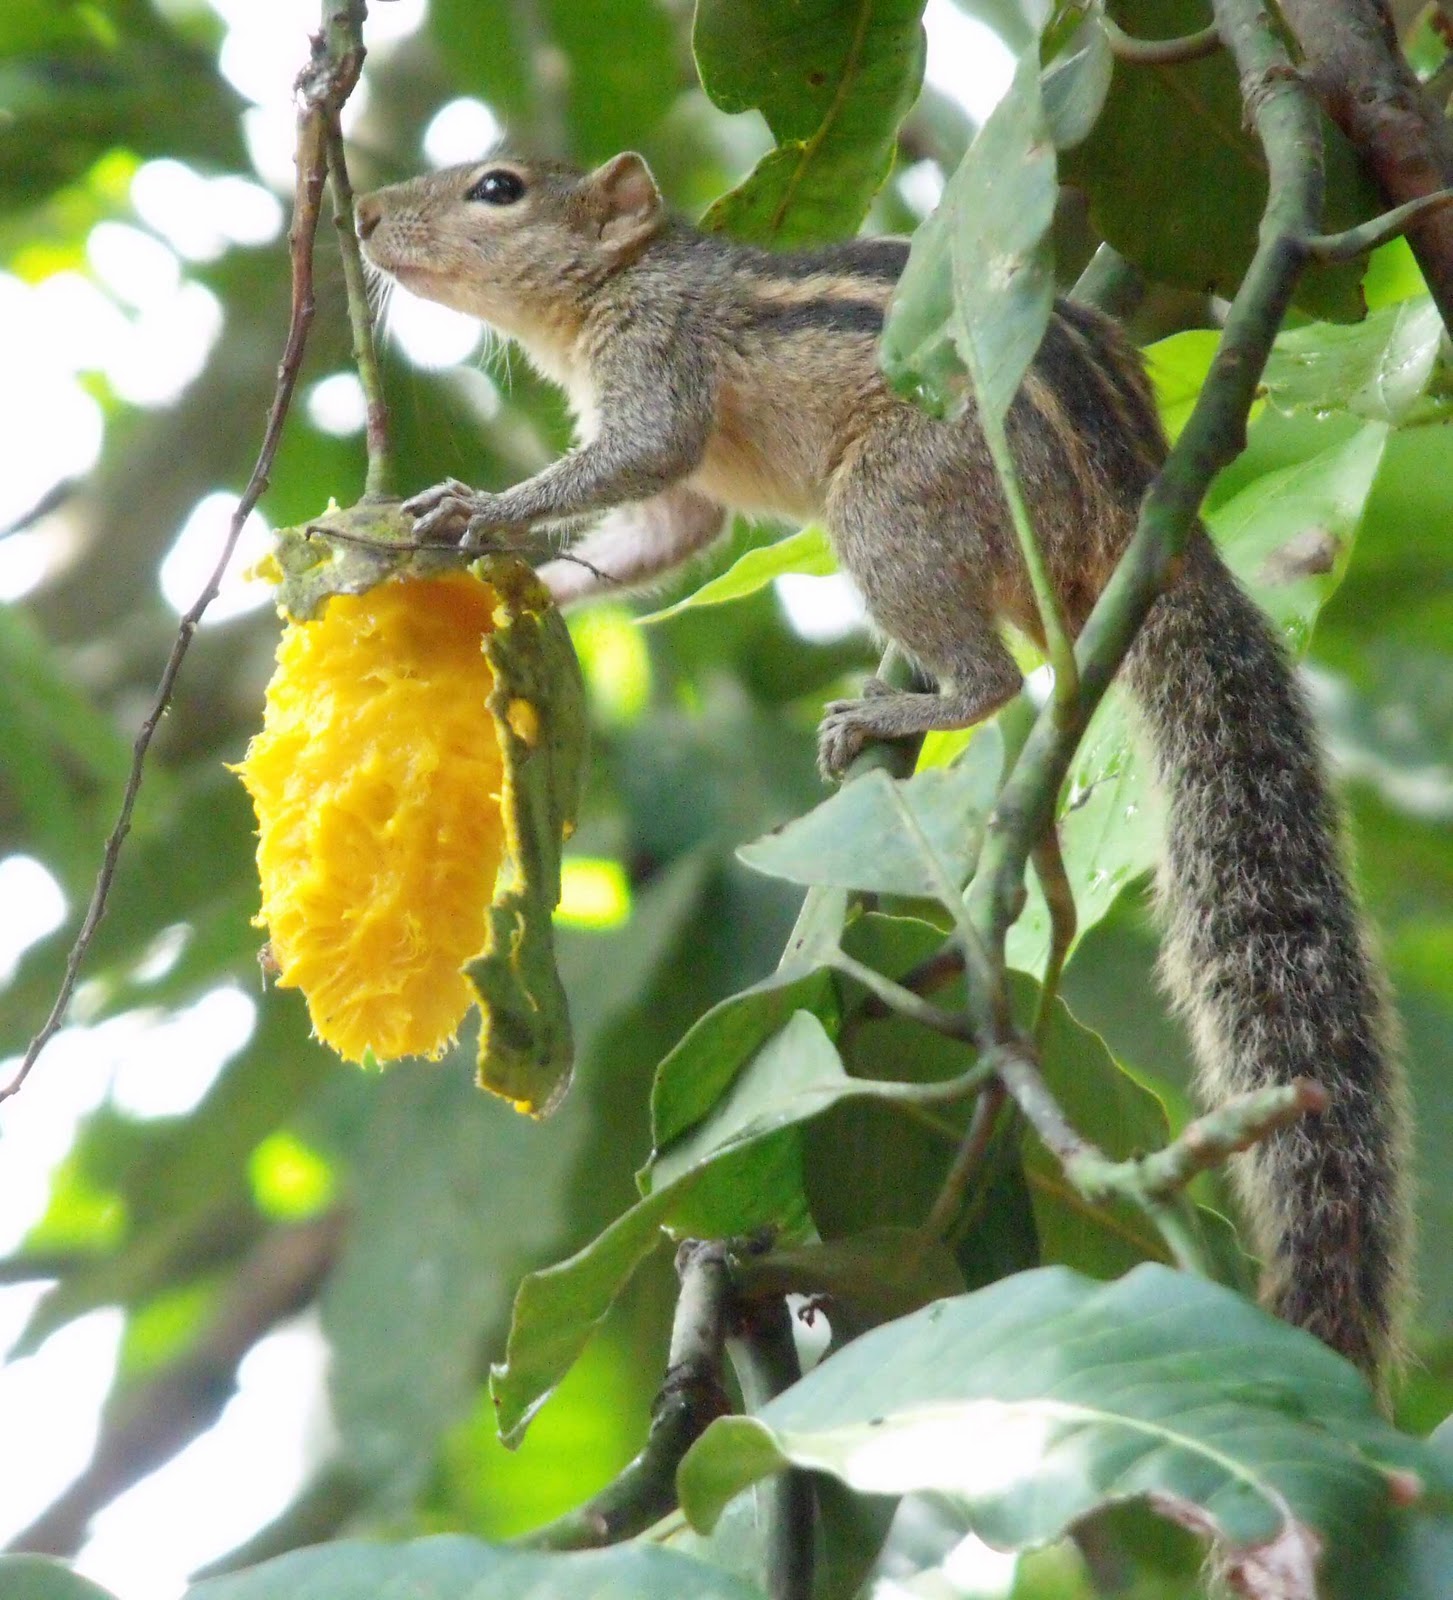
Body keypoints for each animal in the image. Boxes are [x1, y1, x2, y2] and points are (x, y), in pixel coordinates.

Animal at [356, 152, 1411, 1390]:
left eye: (498, 188)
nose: (363, 214)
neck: (617, 283)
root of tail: (1145, 513)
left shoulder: (658, 358)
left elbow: (640, 455)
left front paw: (475, 510)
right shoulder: (680, 494)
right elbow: (657, 534)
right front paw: (501, 579)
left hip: (892, 502)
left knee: (992, 679)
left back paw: (902, 704)